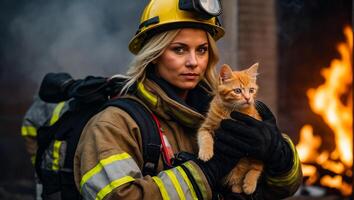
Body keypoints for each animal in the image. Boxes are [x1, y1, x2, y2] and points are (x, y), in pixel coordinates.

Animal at [198, 62, 264, 194]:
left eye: (251, 90)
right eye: (237, 91)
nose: (248, 98)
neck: (230, 111)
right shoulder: (206, 127)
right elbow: (205, 137)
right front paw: (205, 153)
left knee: (257, 166)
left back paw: (249, 184)